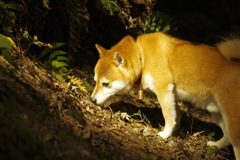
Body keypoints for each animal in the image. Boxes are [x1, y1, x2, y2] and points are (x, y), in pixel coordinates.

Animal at [91, 31, 240, 159]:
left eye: (105, 84)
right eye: (95, 81)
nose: (92, 99)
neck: (143, 57)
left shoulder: (163, 90)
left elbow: (168, 116)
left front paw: (164, 135)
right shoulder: (172, 95)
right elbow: (176, 116)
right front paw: (175, 132)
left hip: (231, 119)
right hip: (217, 112)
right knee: (227, 137)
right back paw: (215, 145)